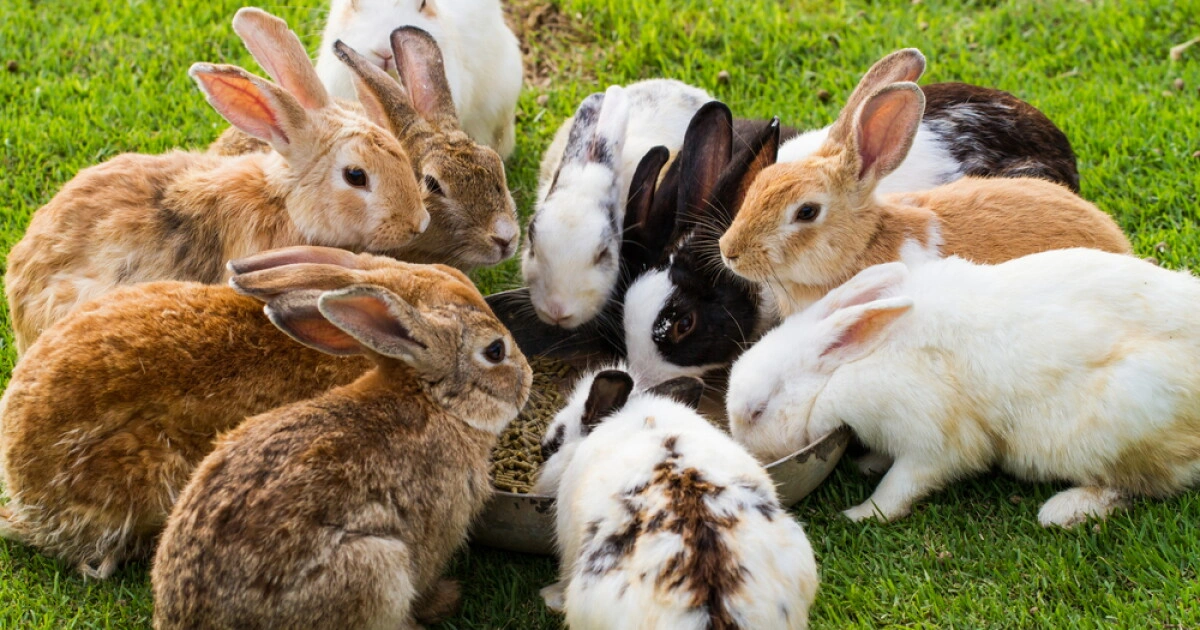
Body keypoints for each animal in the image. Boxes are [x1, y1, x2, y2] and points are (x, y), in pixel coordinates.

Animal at [152, 263, 532, 630]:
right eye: (495, 351)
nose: (528, 376)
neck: (436, 402)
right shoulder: (438, 528)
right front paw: (444, 600)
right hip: (375, 567)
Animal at [727, 249, 1200, 527]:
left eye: (757, 411)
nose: (750, 456)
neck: (842, 372)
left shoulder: (932, 442)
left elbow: (901, 487)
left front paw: (861, 514)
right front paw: (868, 464)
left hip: (1116, 426)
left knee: (1143, 485)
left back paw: (1065, 510)